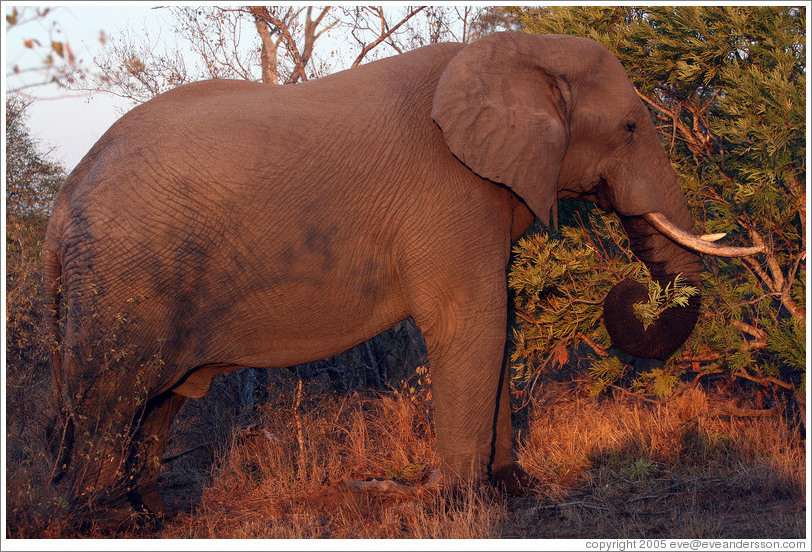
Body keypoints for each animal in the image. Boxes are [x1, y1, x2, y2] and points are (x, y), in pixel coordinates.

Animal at [41, 29, 760, 528]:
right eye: (632, 127)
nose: (633, 292)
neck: (516, 50)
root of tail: (62, 201)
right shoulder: (447, 191)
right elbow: (471, 321)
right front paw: (462, 505)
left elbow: (496, 322)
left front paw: (511, 489)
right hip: (125, 275)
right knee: (117, 392)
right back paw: (111, 524)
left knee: (160, 398)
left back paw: (158, 518)